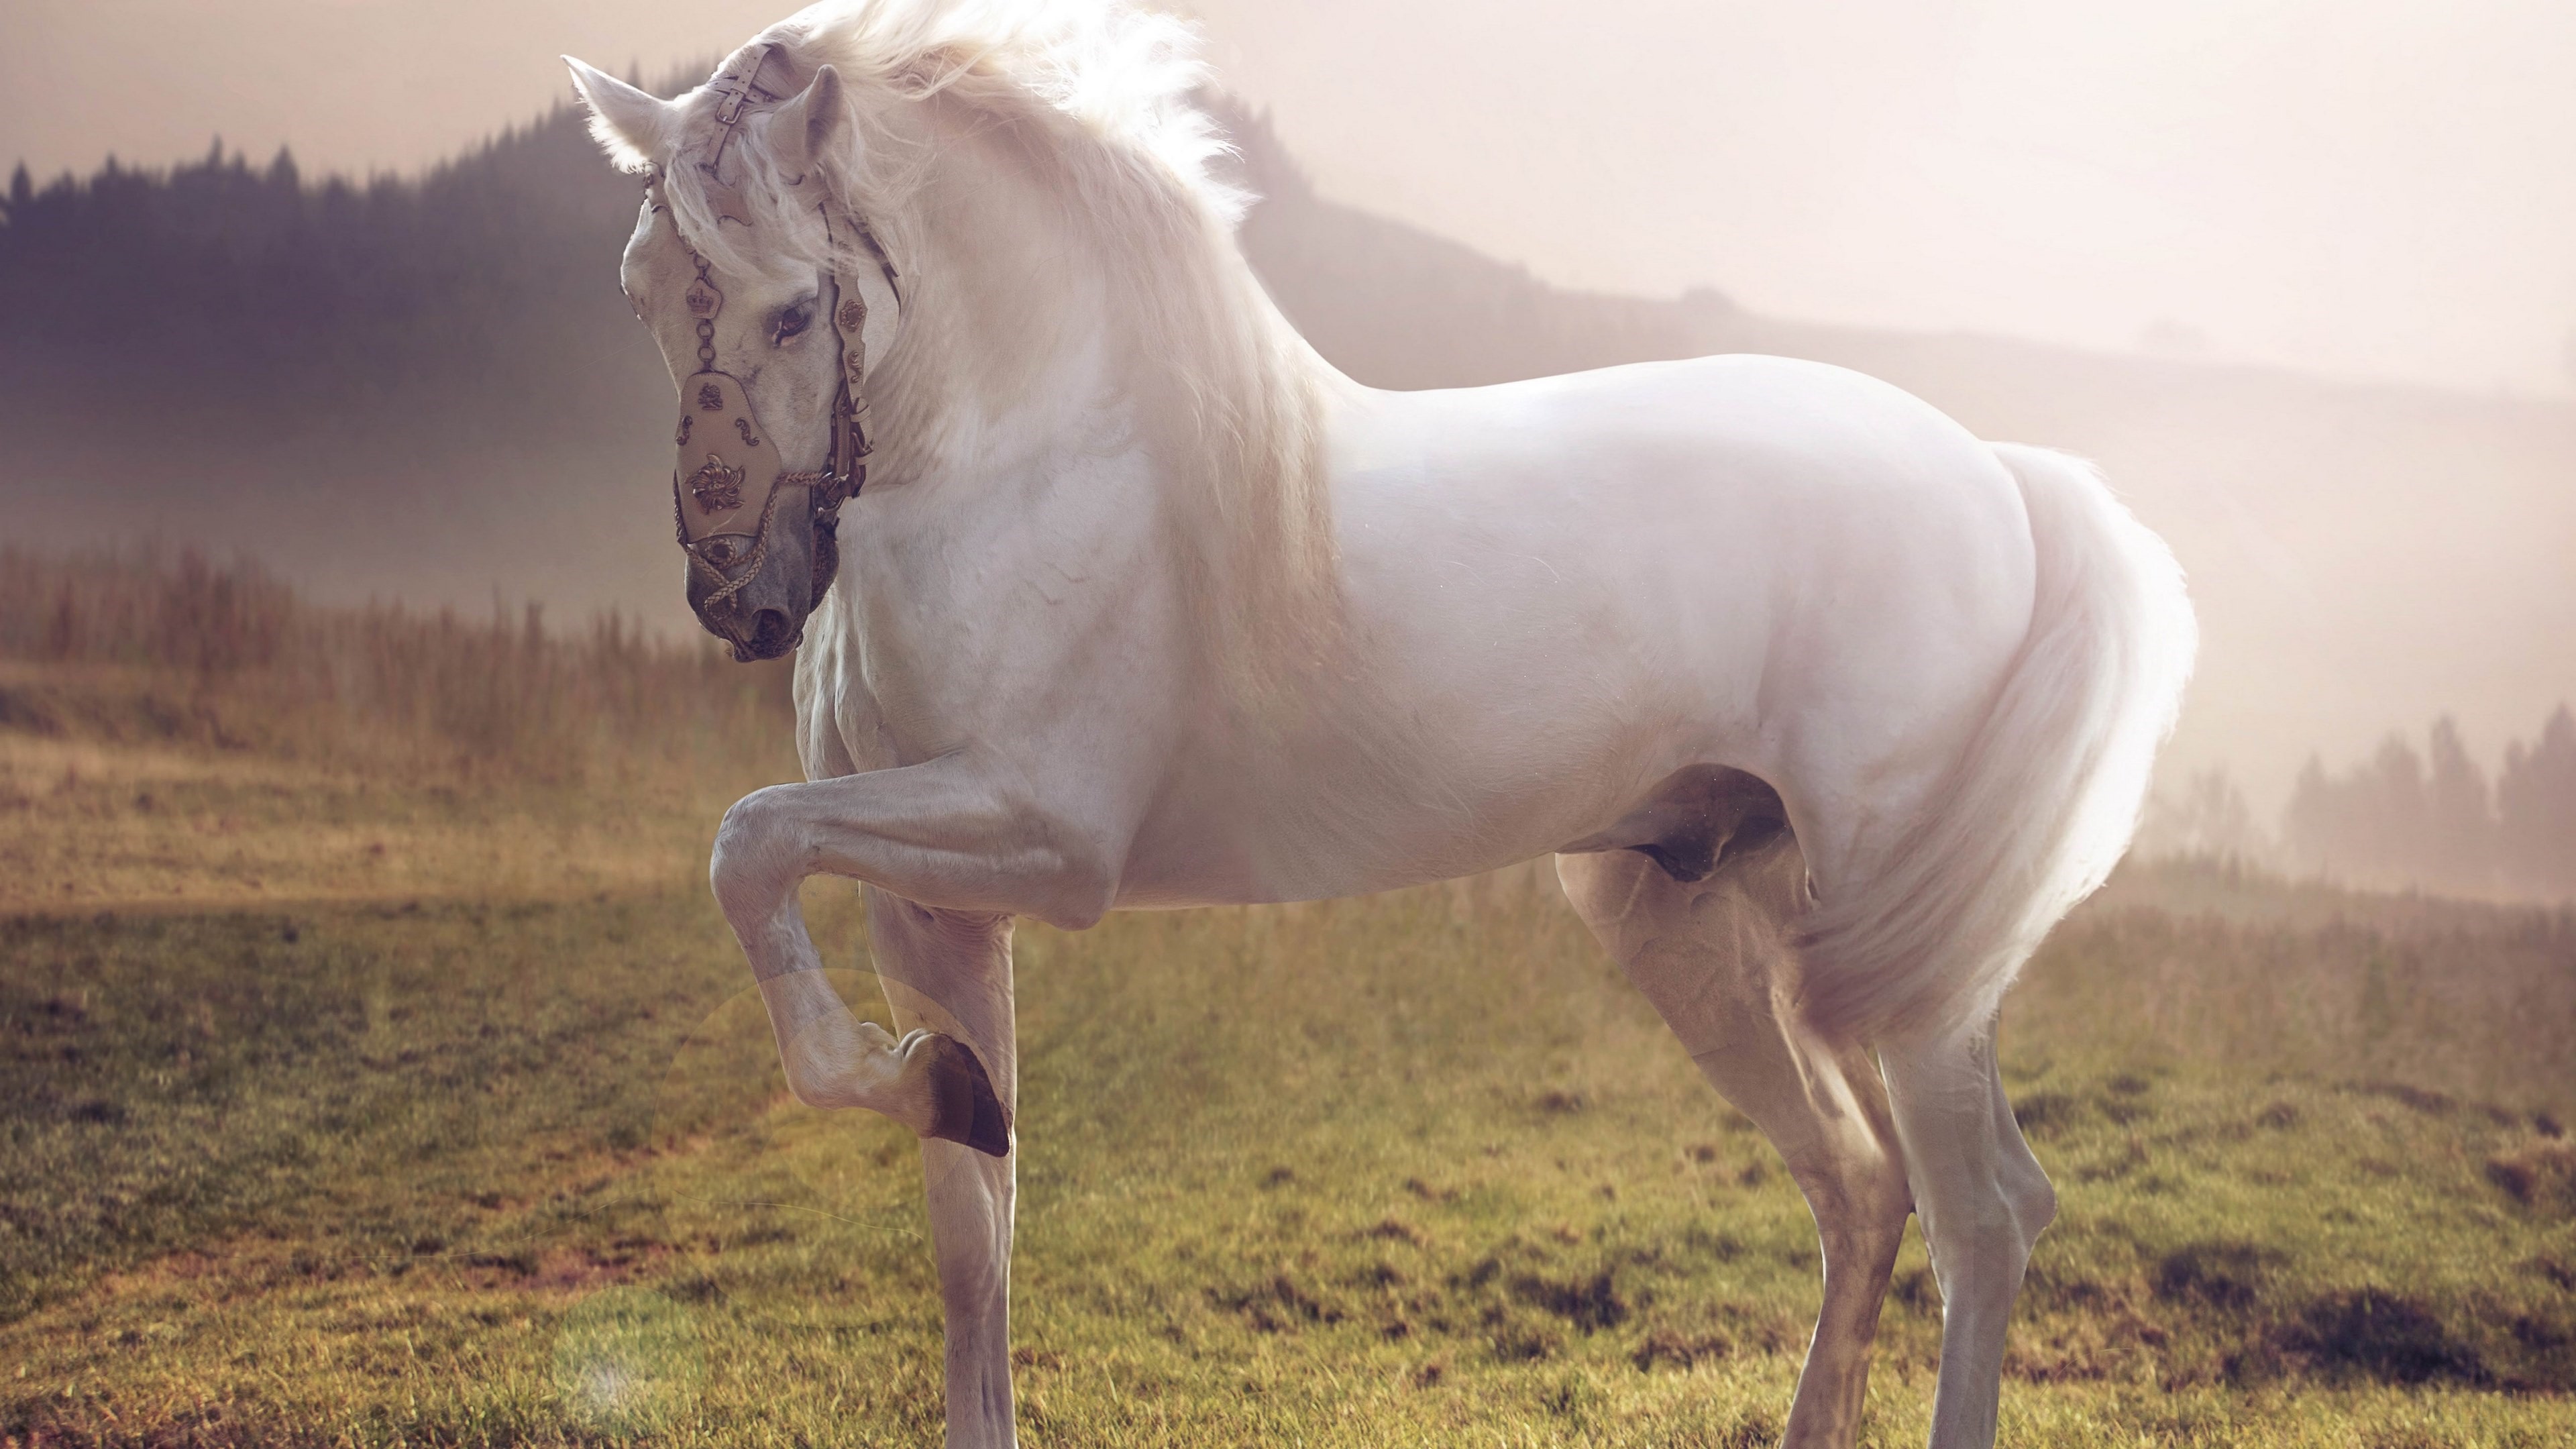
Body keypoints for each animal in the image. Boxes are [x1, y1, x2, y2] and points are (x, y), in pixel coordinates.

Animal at [563, 3, 2194, 1445]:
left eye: (792, 306)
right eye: (639, 291)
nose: (741, 599)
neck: (1030, 456)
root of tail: (1999, 473)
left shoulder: (1041, 838)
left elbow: (745, 848)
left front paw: (909, 1076)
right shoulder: (934, 909)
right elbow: (972, 1227)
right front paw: (936, 1088)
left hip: (1904, 962)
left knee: (1985, 1211)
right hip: (1692, 926)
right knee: (1863, 1189)